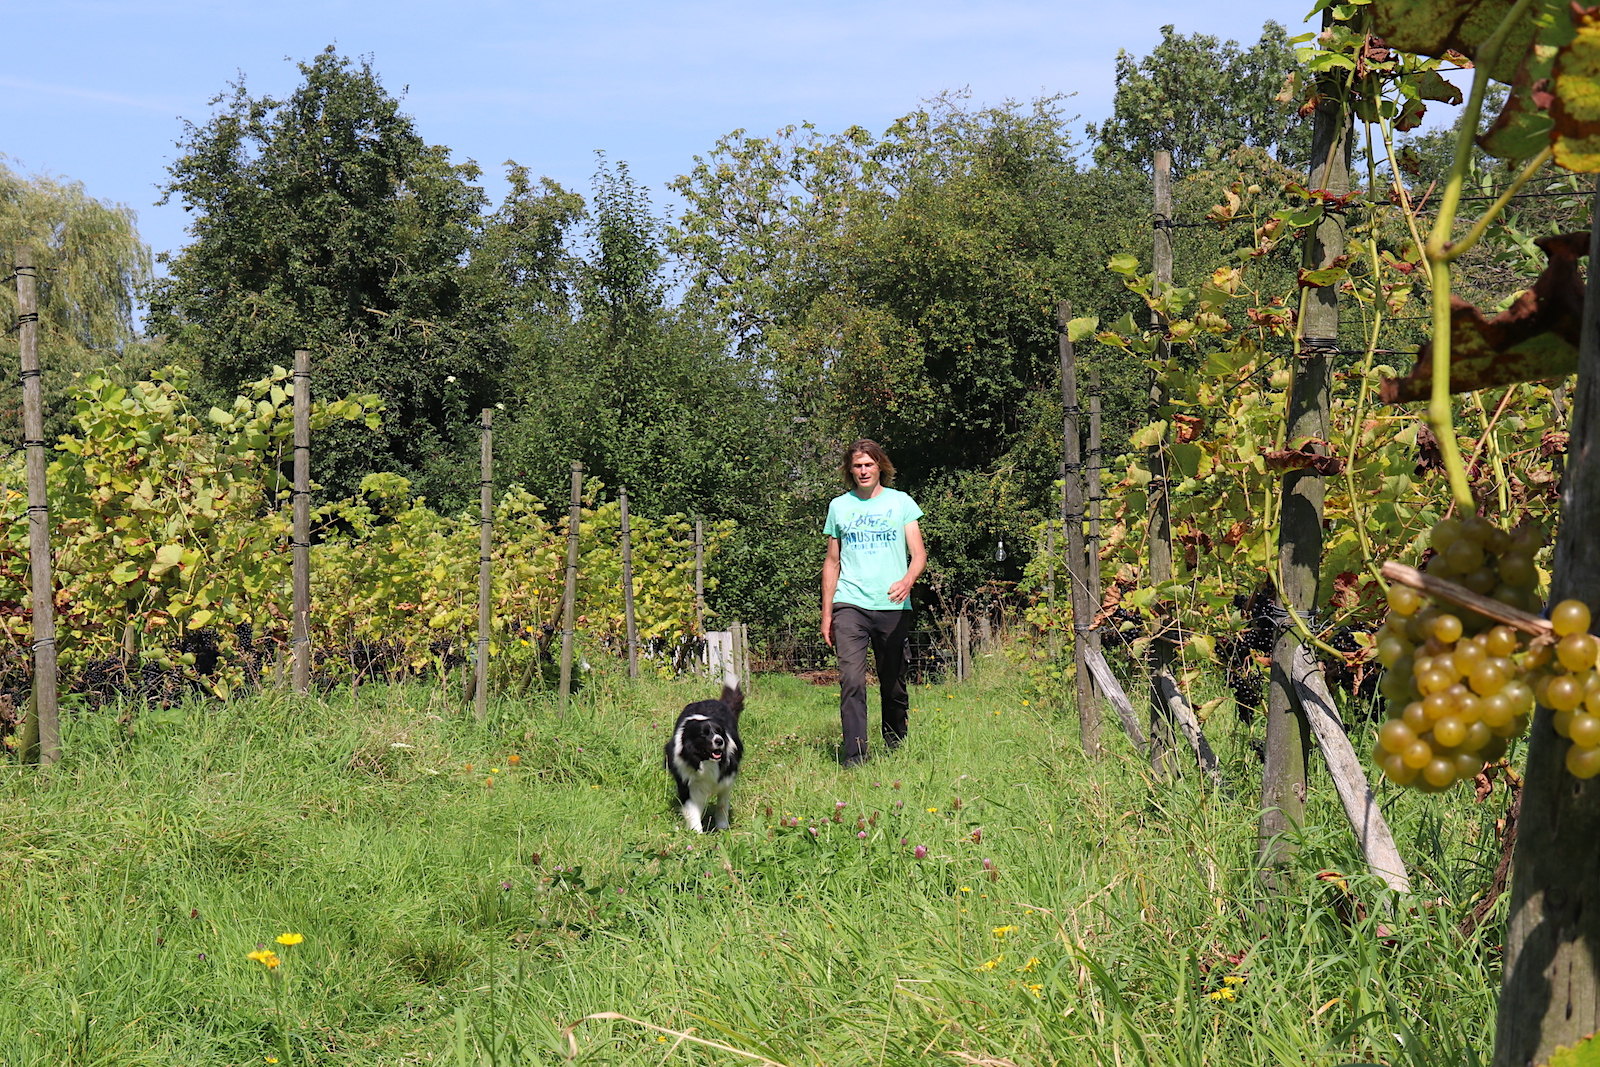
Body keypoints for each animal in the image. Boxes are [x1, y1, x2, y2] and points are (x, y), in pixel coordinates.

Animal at [662, 668, 742, 831]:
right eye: (703, 734)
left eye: (719, 731)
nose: (719, 741)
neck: (704, 762)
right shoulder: (687, 782)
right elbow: (692, 809)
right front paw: (696, 832)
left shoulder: (726, 779)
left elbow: (722, 803)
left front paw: (723, 827)